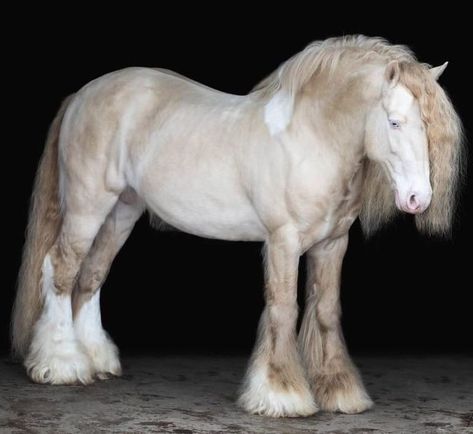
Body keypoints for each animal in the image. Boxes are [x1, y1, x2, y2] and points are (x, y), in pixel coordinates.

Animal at [11, 36, 460, 418]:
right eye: (395, 122)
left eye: (428, 125)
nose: (418, 198)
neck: (309, 138)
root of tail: (83, 95)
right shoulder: (283, 241)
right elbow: (283, 308)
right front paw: (280, 394)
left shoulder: (332, 244)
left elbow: (327, 310)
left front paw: (339, 391)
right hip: (88, 206)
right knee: (61, 269)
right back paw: (61, 364)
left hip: (122, 210)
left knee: (92, 275)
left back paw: (97, 359)